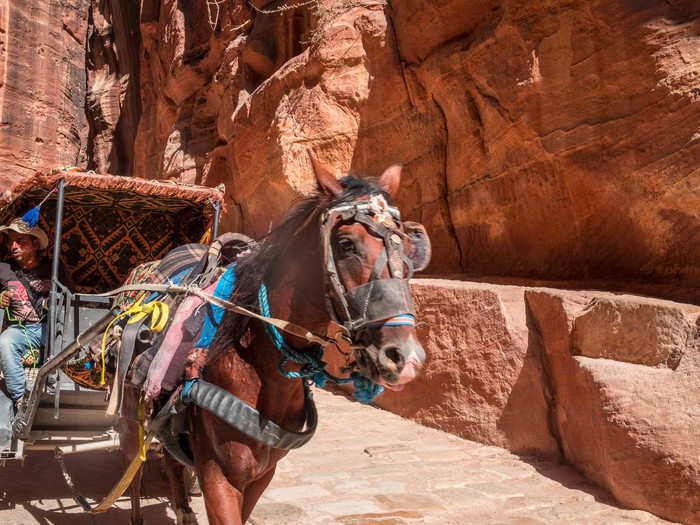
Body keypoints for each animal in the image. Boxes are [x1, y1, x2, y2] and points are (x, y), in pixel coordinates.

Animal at [119, 159, 432, 524]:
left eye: (407, 246)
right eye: (346, 245)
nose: (405, 357)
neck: (261, 366)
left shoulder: (261, 476)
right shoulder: (217, 478)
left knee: (171, 459)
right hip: (132, 422)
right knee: (133, 475)